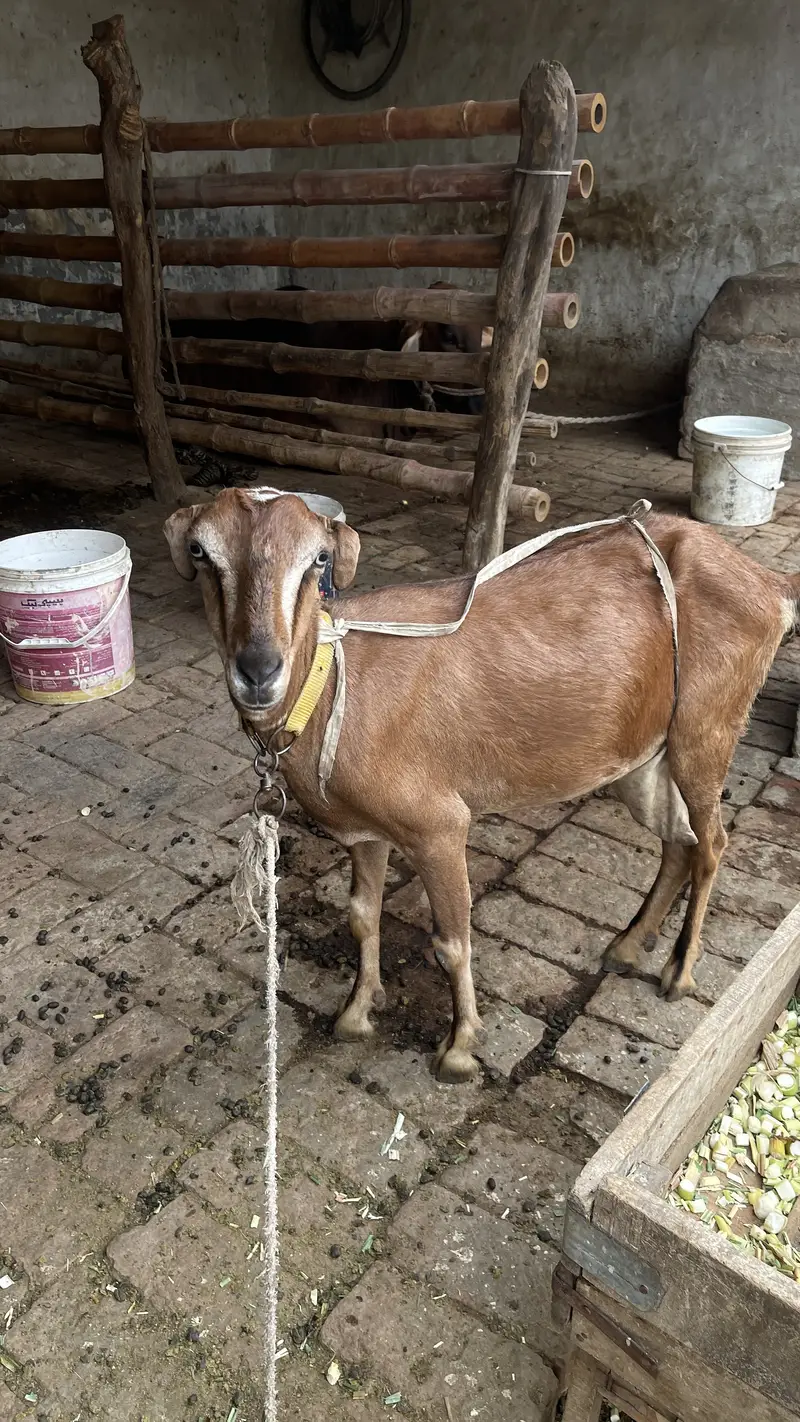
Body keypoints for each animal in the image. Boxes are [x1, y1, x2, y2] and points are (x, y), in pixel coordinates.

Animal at [165, 490, 800, 1081]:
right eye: (200, 551)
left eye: (317, 560)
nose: (258, 670)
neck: (334, 686)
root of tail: (768, 583)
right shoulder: (365, 831)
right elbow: (361, 914)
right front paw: (356, 1013)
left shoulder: (438, 825)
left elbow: (452, 942)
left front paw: (460, 1049)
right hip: (643, 756)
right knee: (678, 840)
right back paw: (625, 947)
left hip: (707, 727)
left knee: (712, 843)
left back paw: (679, 973)